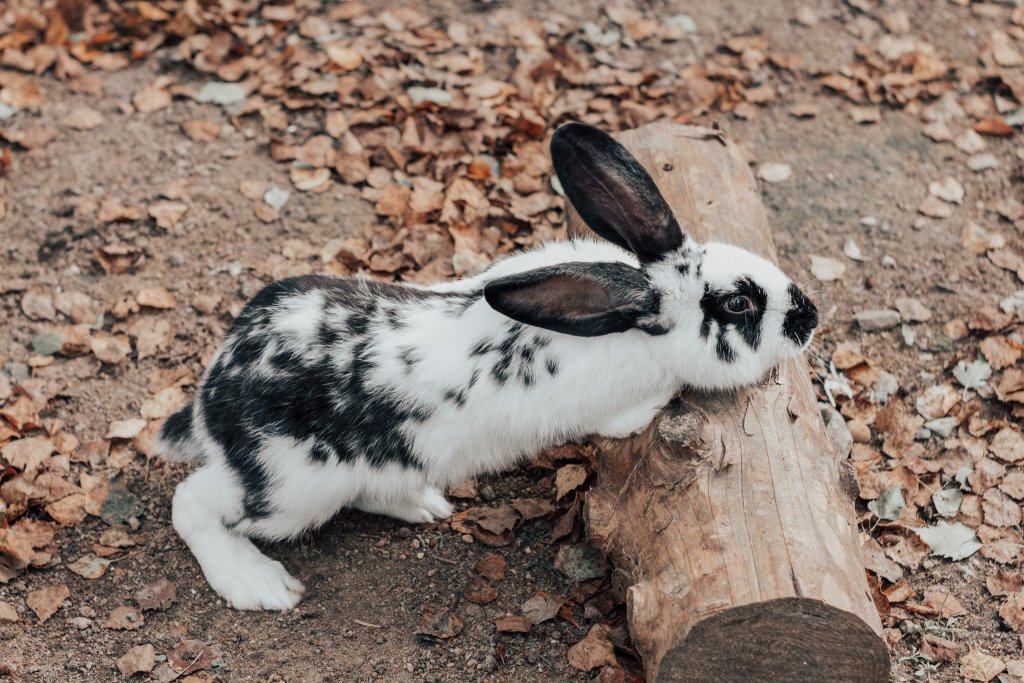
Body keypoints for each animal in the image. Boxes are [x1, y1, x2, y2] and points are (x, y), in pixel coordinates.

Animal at [155, 121, 819, 610]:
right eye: (737, 304)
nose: (808, 317)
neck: (634, 323)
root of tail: (213, 393)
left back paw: (422, 504)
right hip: (290, 488)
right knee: (193, 503)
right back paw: (259, 584)